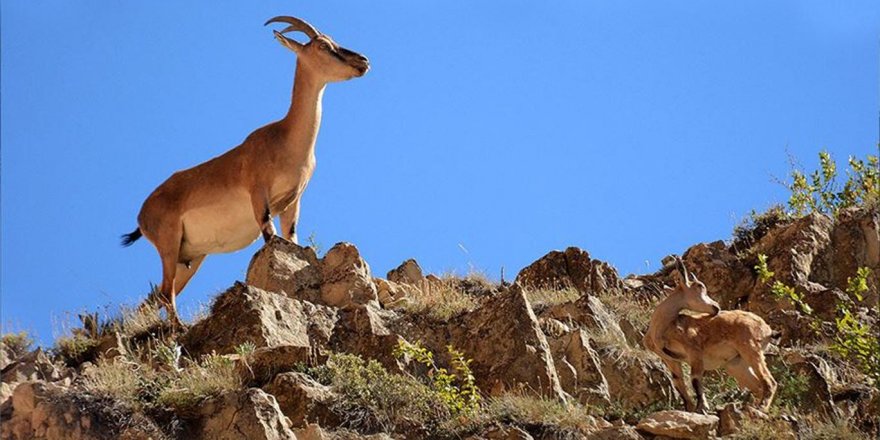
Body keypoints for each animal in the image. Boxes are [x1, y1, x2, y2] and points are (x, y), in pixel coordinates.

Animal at [120, 16, 368, 326]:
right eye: (323, 45)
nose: (363, 61)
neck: (285, 140)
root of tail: (142, 215)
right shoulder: (258, 193)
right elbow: (269, 235)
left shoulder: (293, 201)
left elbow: (290, 238)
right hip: (168, 243)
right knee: (165, 294)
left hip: (189, 257)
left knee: (156, 297)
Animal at [640, 256, 776, 414]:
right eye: (699, 287)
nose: (716, 307)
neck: (662, 328)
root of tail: (767, 329)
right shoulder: (670, 359)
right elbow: (678, 382)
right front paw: (690, 409)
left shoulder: (694, 351)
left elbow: (695, 379)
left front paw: (702, 407)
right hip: (736, 363)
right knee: (757, 385)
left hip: (751, 349)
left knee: (769, 380)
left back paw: (761, 408)